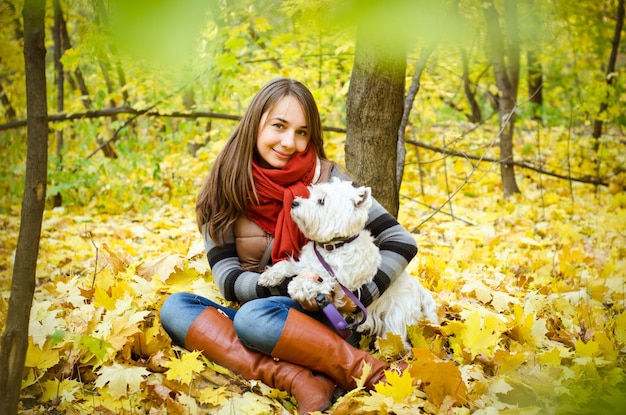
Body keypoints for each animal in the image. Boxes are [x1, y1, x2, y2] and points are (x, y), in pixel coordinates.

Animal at [256, 177, 436, 346]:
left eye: (321, 201)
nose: (294, 203)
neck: (333, 246)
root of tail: (419, 287)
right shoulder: (305, 264)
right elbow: (288, 264)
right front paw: (269, 276)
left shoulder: (342, 283)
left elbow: (323, 279)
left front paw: (299, 286)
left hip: (396, 314)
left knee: (397, 338)